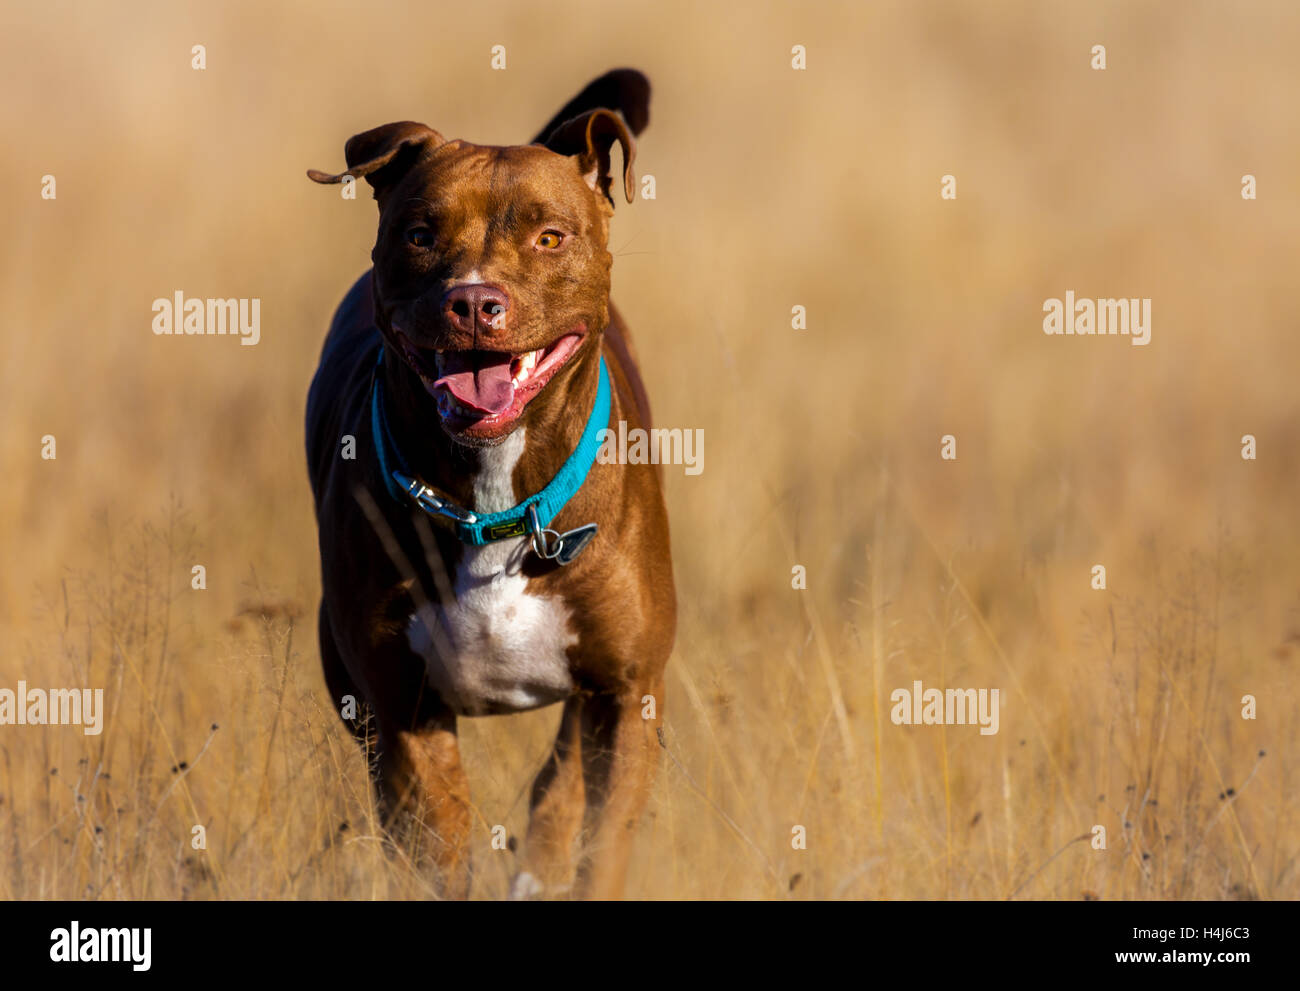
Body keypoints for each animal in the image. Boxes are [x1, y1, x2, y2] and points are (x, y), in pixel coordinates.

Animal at [300, 69, 676, 894]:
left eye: (549, 236)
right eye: (420, 234)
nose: (473, 302)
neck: (494, 505)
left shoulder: (625, 694)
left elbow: (598, 833)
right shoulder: (402, 710)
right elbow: (435, 839)